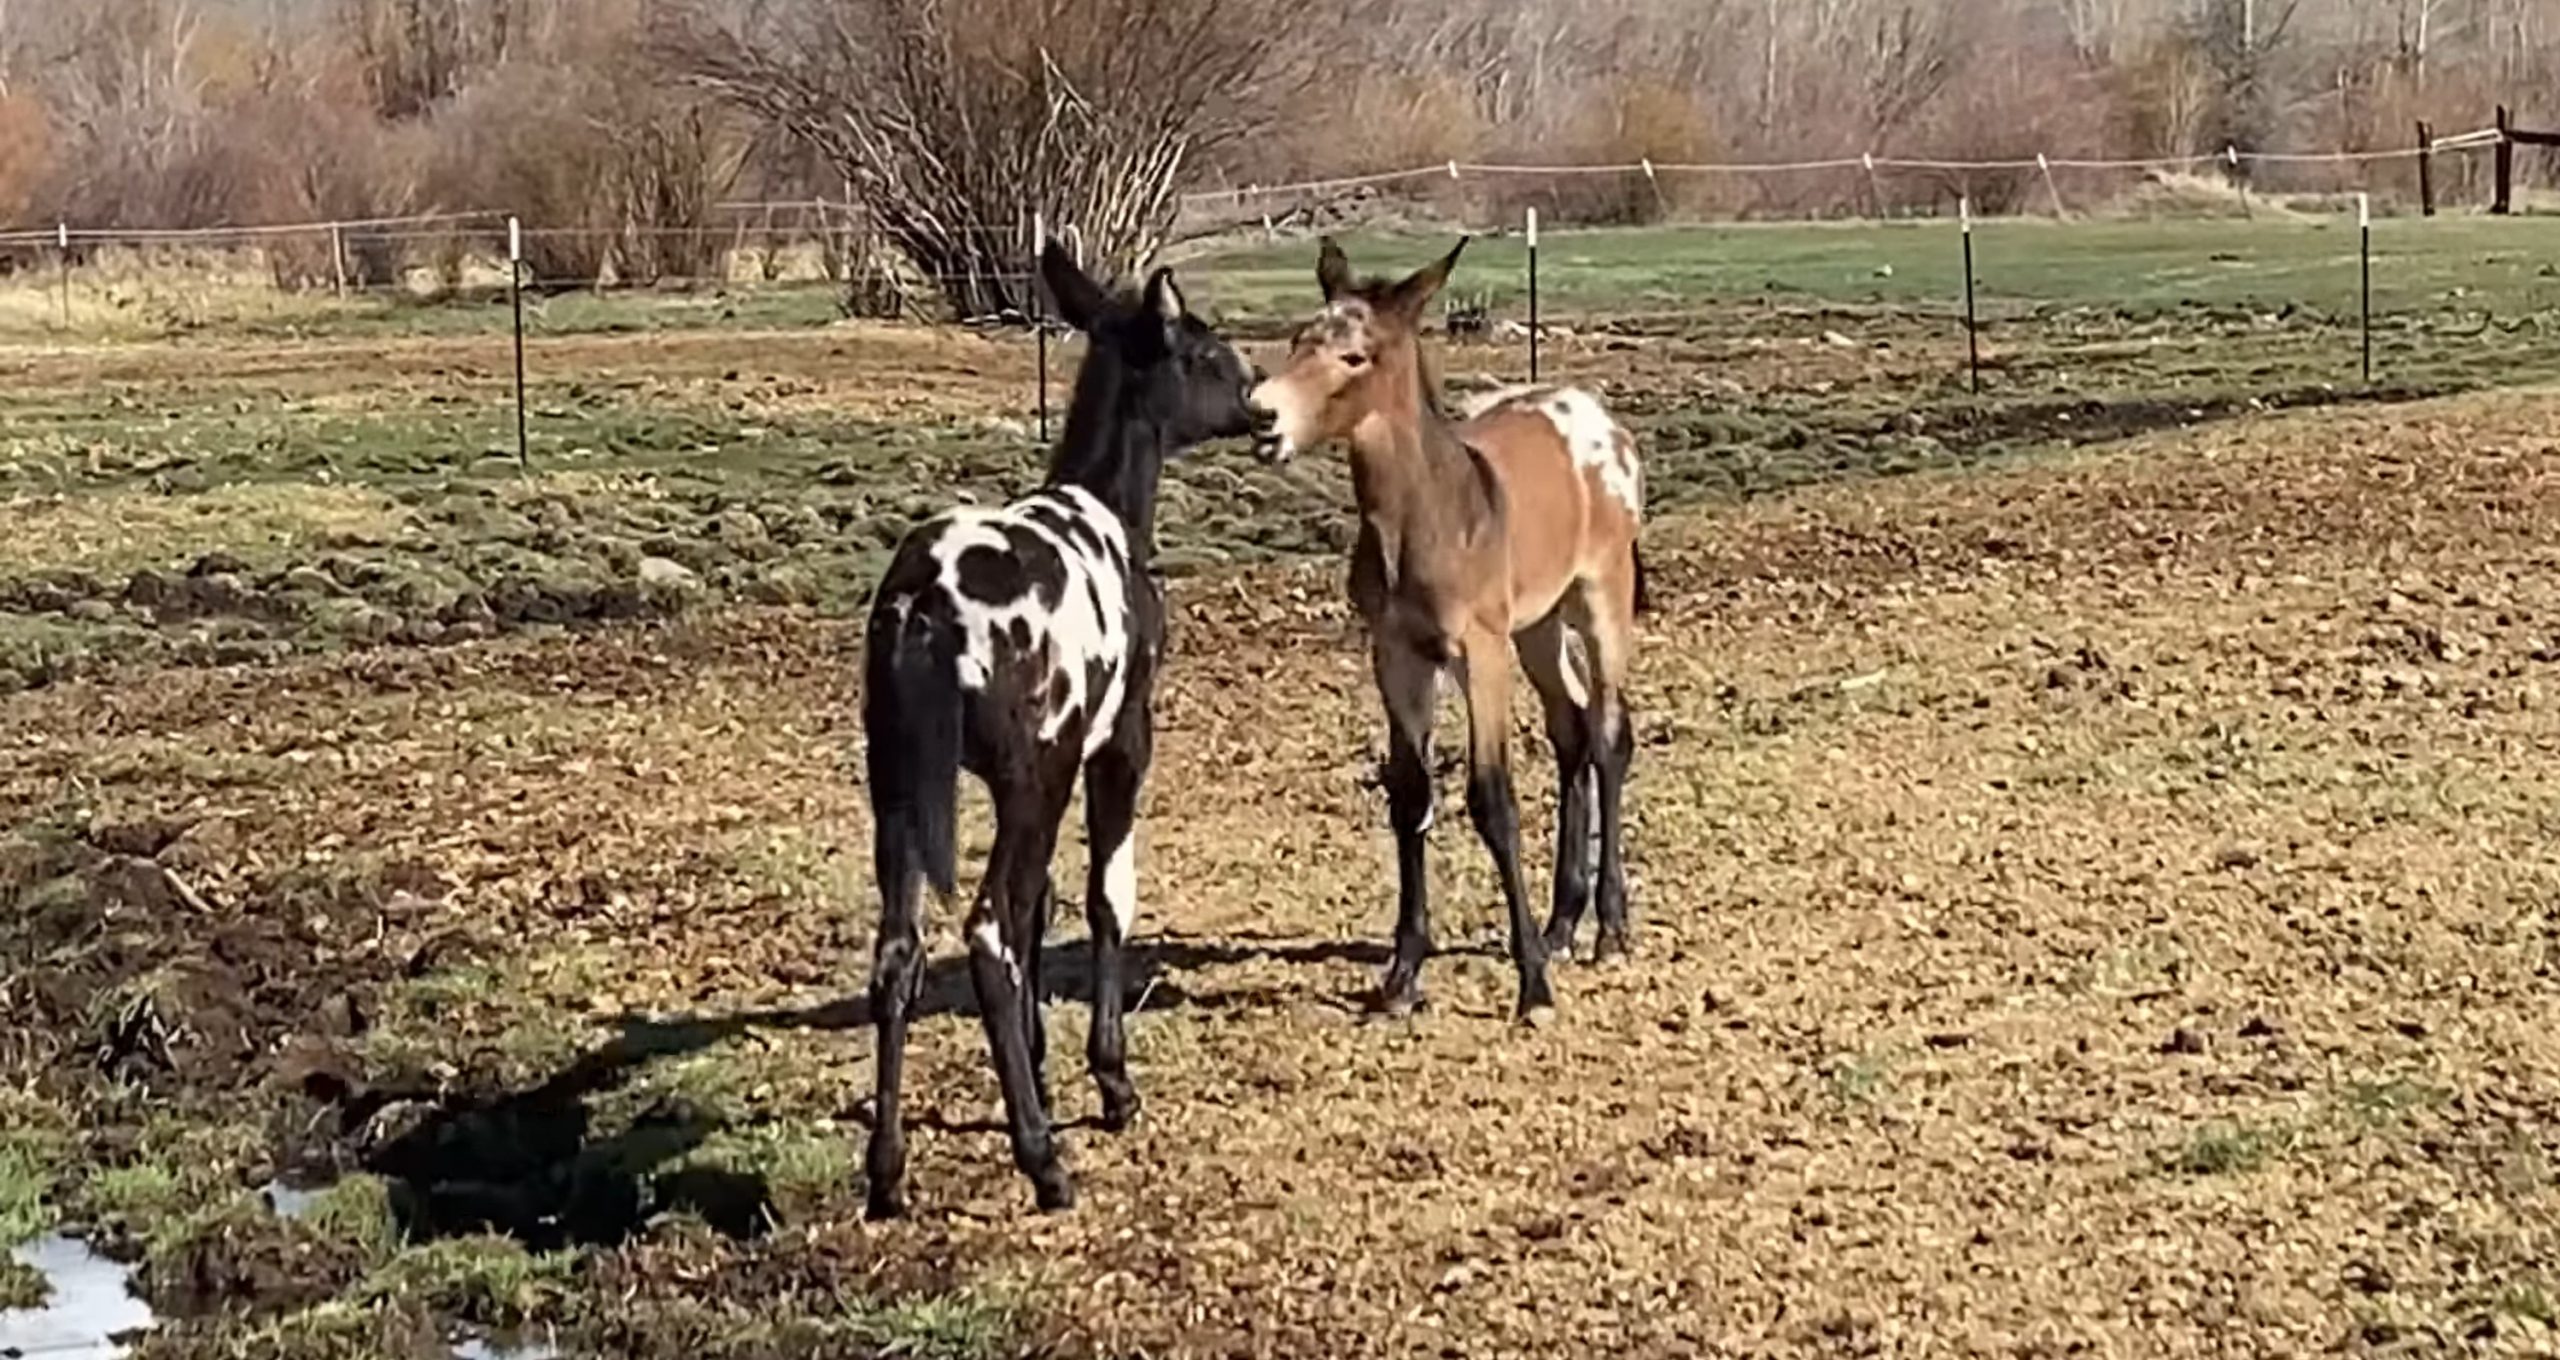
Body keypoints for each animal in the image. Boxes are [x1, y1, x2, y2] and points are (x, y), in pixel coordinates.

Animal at [860, 239, 1259, 1219]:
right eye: (1205, 349)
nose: (1261, 397)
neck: (1106, 511)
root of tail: (920, 609)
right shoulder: (1115, 746)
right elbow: (1106, 896)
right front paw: (1111, 1085)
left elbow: (1043, 908)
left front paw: (1040, 1070)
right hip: (1028, 781)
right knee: (988, 935)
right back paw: (1043, 1159)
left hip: (900, 789)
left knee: (901, 949)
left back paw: (887, 1171)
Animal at [1254, 236, 1648, 1024]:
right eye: (1298, 339)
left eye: (1355, 356)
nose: (1262, 418)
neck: (1429, 518)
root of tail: (1600, 420)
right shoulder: (1397, 654)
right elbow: (1410, 795)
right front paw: (1401, 978)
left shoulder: (1478, 652)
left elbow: (1492, 798)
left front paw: (1533, 989)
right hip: (1537, 626)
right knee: (1571, 729)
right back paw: (1563, 925)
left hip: (1599, 598)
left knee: (1609, 735)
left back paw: (1609, 931)